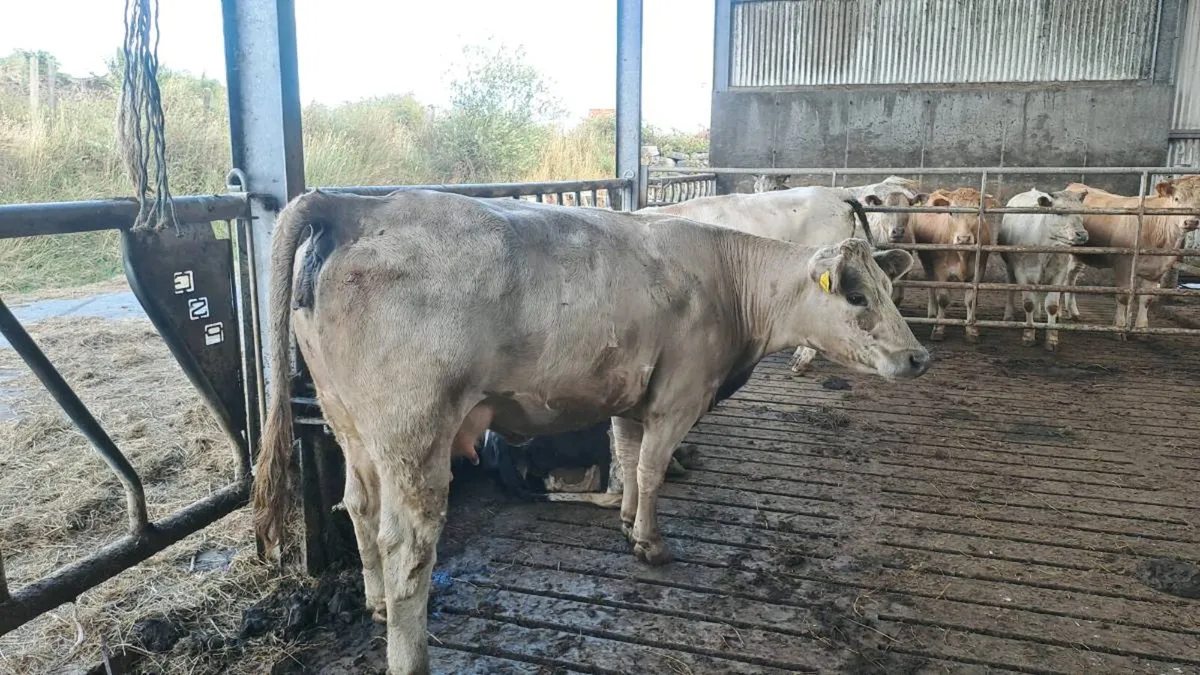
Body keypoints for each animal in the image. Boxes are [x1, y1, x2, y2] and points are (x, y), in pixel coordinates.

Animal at [251, 188, 929, 674]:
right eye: (857, 296)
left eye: (889, 288)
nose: (918, 357)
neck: (724, 278)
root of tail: (357, 204)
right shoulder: (678, 395)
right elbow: (652, 468)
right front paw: (650, 542)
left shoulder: (633, 396)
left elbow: (628, 457)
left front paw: (627, 521)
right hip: (413, 432)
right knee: (407, 544)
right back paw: (409, 653)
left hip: (350, 423)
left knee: (359, 507)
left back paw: (372, 601)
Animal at [908, 187, 997, 343]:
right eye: (951, 212)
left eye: (976, 212)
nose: (963, 238)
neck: (962, 254)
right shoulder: (940, 270)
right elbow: (943, 298)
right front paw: (938, 329)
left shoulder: (979, 270)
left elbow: (971, 300)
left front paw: (972, 330)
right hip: (926, 261)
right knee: (931, 285)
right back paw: (932, 314)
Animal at [997, 188, 1090, 351]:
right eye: (1059, 212)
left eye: (1082, 212)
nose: (1082, 234)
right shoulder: (1022, 272)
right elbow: (1028, 304)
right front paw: (1028, 335)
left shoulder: (1059, 273)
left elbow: (1052, 306)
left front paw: (1051, 338)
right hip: (1009, 265)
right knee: (1011, 288)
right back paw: (1009, 314)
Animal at [1060, 177, 1200, 333]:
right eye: (1176, 199)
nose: (1191, 222)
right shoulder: (1123, 265)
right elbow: (1123, 297)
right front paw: (1120, 326)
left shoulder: (1157, 269)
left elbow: (1146, 299)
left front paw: (1141, 327)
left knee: (1071, 277)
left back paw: (1073, 312)